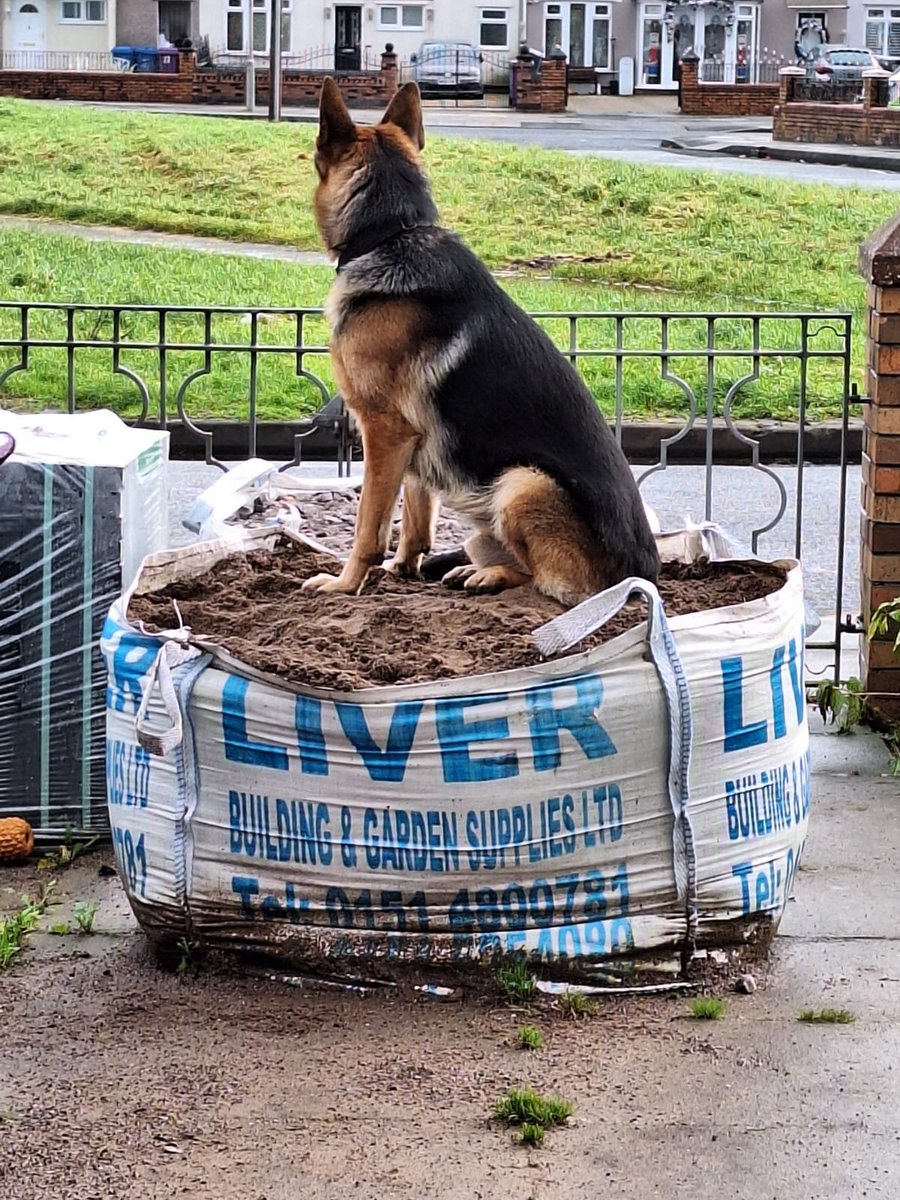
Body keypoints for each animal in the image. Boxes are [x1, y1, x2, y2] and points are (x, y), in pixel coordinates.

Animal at [304, 82, 662, 609]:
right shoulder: (411, 441)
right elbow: (416, 515)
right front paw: (403, 569)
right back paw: (473, 569)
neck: (393, 231)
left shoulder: (383, 431)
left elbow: (370, 524)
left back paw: (490, 576)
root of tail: (644, 576)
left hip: (521, 483)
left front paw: (347, 583)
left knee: (548, 585)